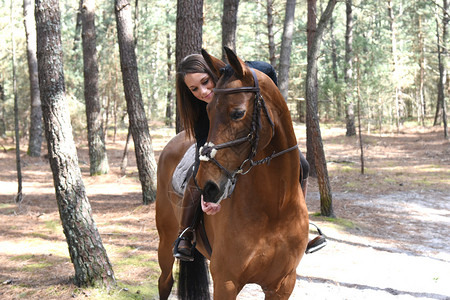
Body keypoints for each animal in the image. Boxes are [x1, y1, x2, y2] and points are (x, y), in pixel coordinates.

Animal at [156, 48, 310, 298]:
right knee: (165, 281)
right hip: (166, 238)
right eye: (207, 111)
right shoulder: (226, 282)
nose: (208, 186)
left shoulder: (283, 284)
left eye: (238, 113)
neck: (274, 210)